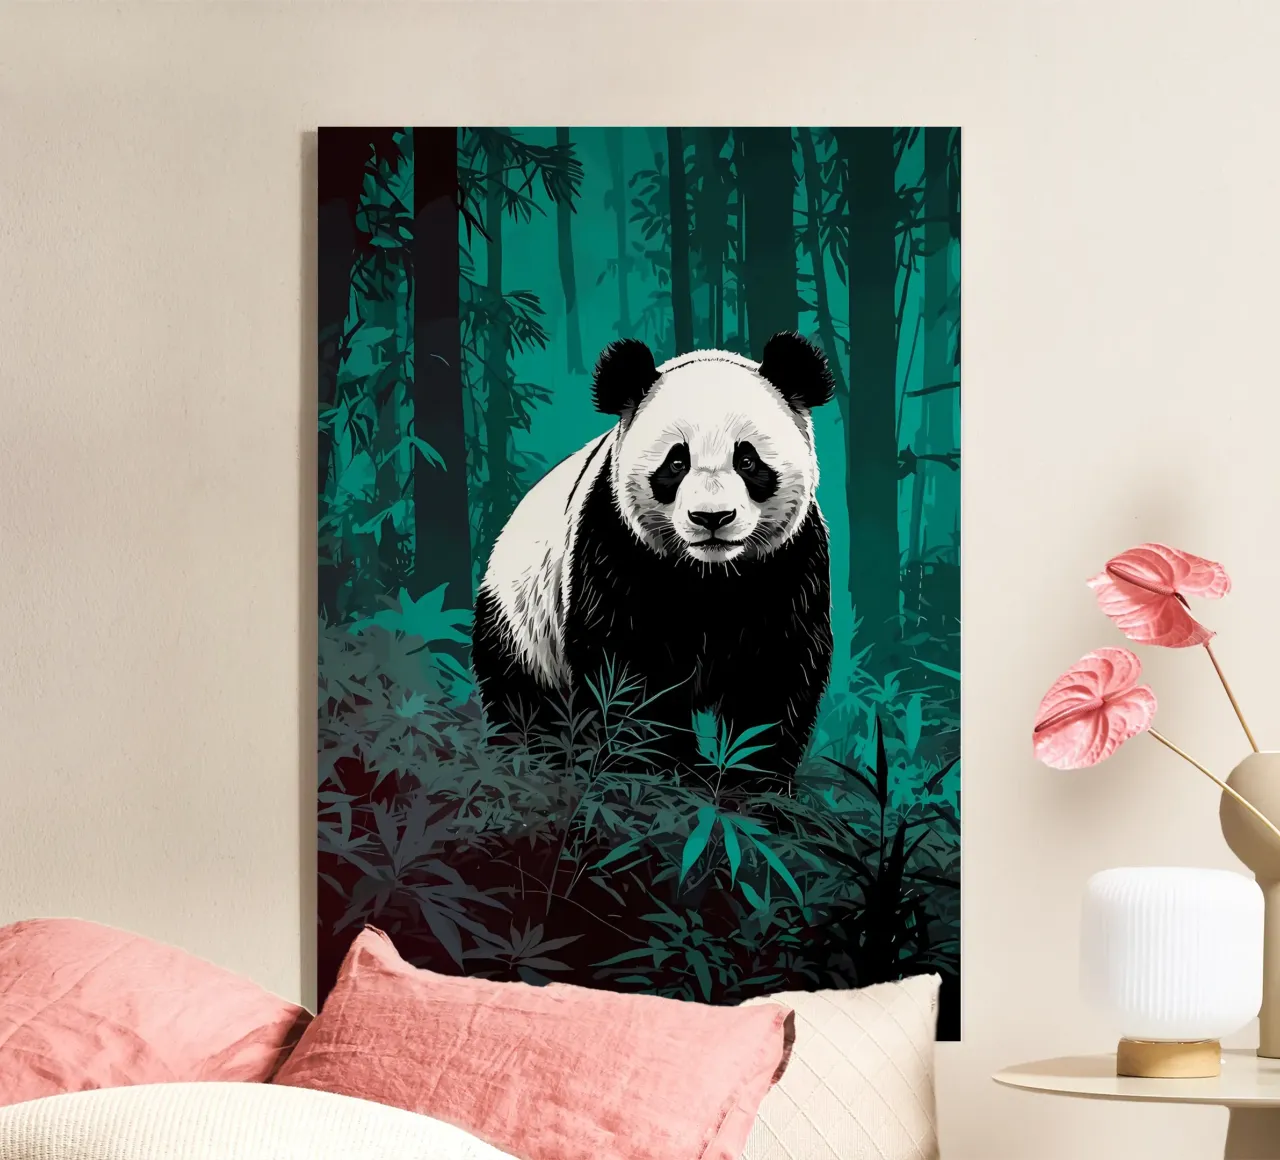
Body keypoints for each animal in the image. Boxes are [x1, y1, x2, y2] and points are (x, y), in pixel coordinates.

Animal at [471, 331, 835, 794]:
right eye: (676, 462)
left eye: (748, 460)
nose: (712, 518)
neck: (711, 572)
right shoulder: (618, 547)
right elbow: (628, 670)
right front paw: (667, 769)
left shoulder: (787, 562)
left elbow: (776, 670)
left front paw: (752, 779)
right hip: (521, 621)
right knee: (524, 701)